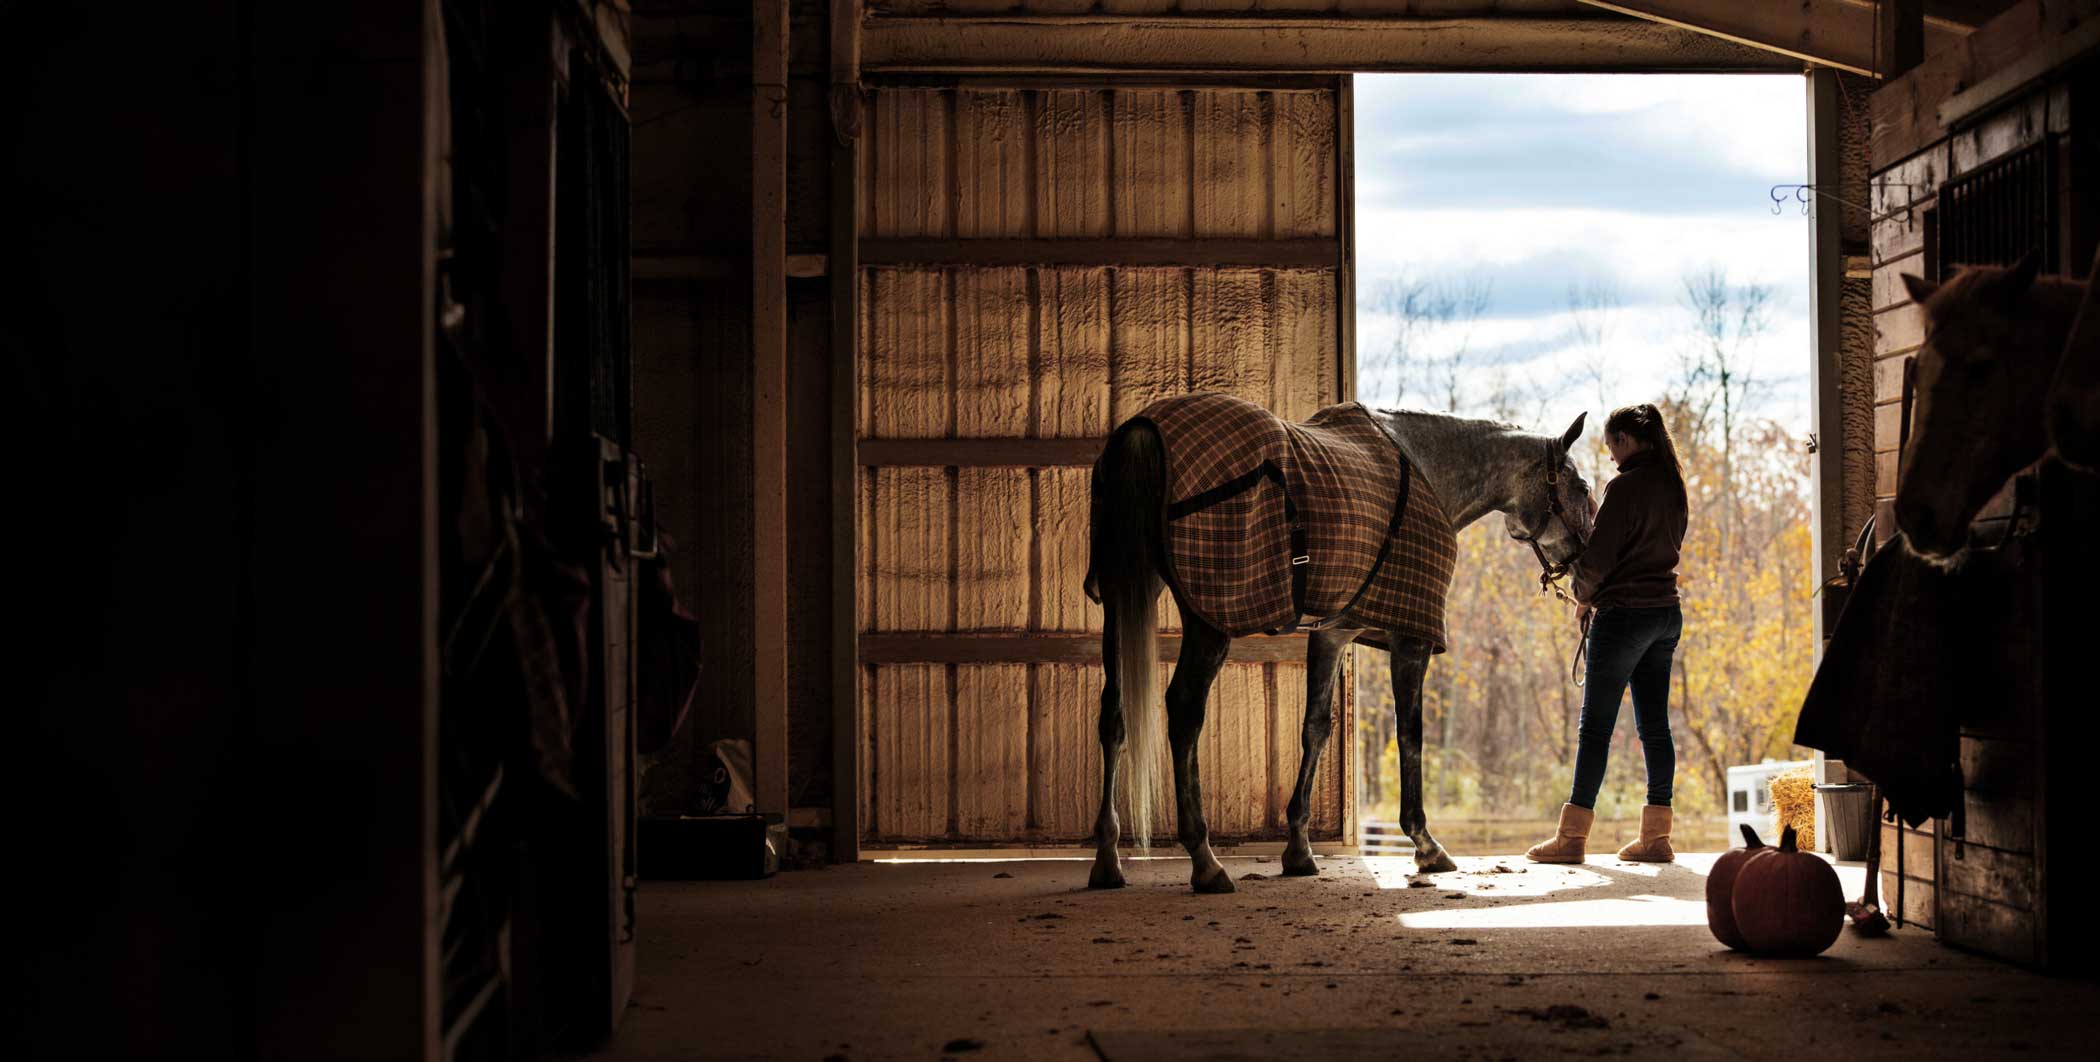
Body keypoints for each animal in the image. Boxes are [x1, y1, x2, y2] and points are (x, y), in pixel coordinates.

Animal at [1084, 396, 1591, 893]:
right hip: (1208, 623)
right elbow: (1410, 733)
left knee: (1113, 715)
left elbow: (1315, 727)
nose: (1583, 567)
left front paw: (1298, 850)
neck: (1426, 465)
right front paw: (1425, 845)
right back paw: (1205, 862)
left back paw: (1108, 859)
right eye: (1583, 488)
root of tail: (1144, 431)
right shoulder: (1411, 638)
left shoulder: (1333, 633)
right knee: (1184, 712)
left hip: (1120, 597)